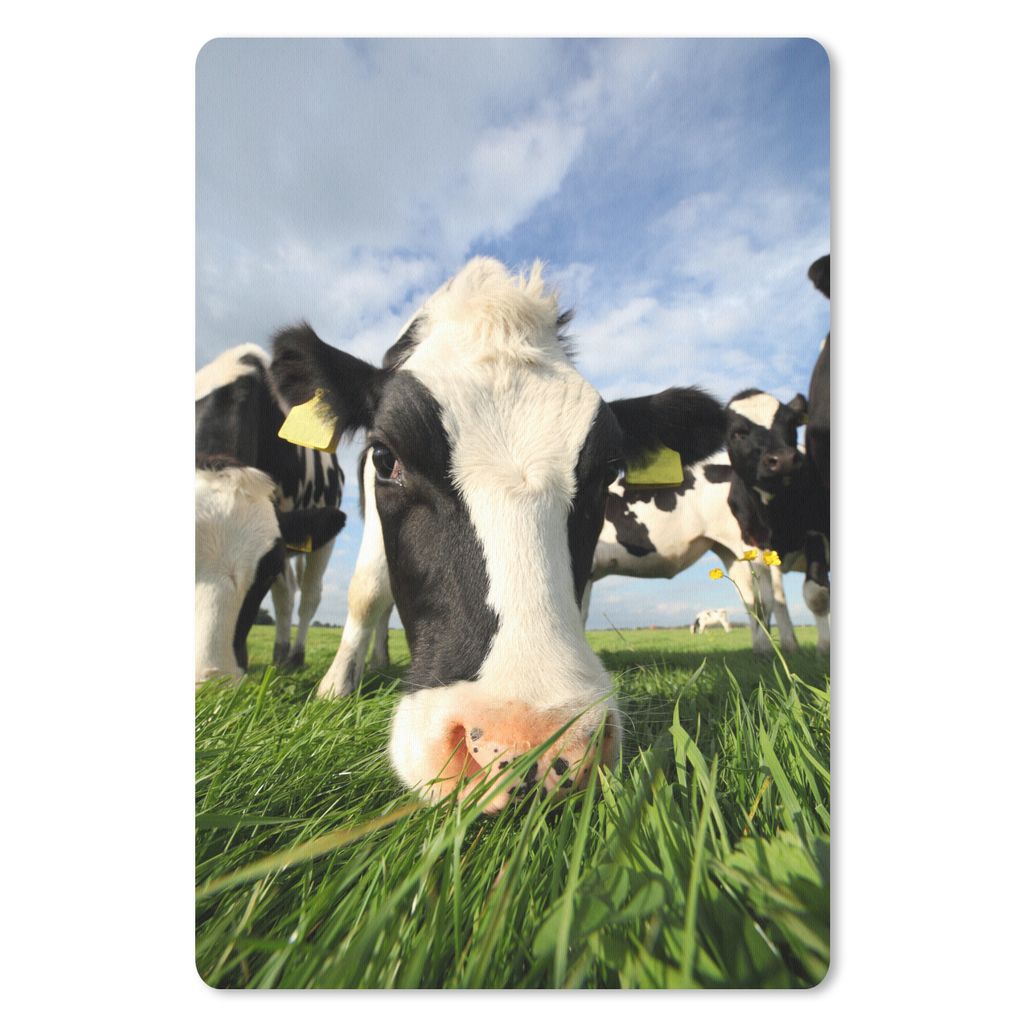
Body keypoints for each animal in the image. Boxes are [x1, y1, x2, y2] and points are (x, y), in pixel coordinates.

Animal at [195, 346, 347, 677]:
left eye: (265, 574)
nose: (209, 681)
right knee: (287, 597)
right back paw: (279, 654)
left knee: (308, 598)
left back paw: (295, 656)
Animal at [724, 387, 830, 653]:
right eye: (737, 433)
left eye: (791, 423)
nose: (782, 459)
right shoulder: (754, 545)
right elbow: (762, 603)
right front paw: (763, 650)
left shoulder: (815, 533)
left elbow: (817, 594)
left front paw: (825, 647)